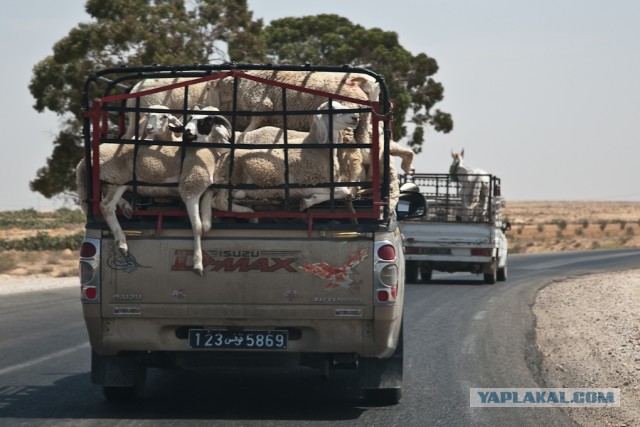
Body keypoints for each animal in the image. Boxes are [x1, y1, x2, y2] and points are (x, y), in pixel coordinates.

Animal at [209, 101, 362, 224]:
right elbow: (344, 190)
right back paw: (248, 211)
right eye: (332, 108)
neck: (316, 148)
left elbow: (343, 191)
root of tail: (220, 160)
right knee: (218, 202)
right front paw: (306, 202)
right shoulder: (307, 182)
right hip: (230, 177)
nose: (355, 117)